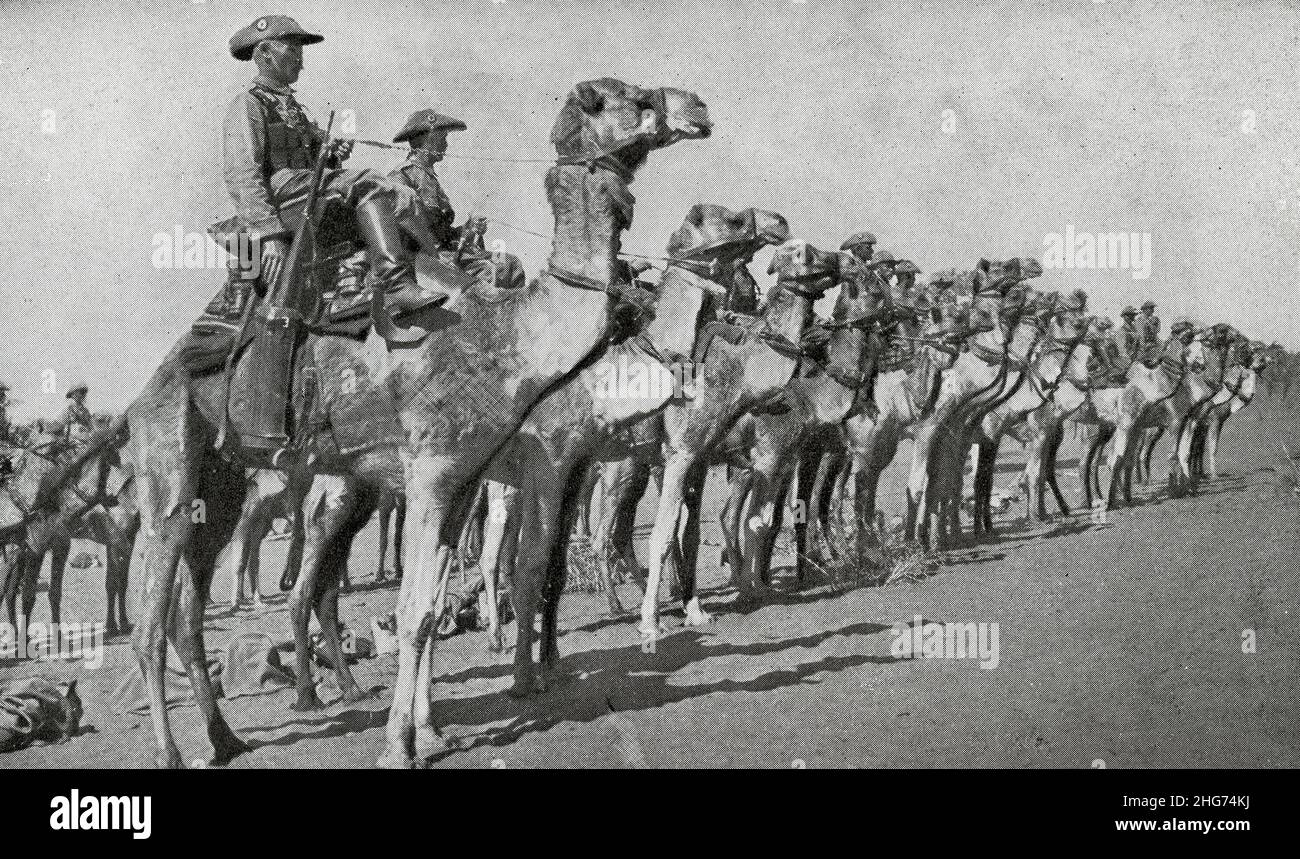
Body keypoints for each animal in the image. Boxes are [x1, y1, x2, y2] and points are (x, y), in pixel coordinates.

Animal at [110, 76, 712, 769]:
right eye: (625, 96)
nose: (697, 106)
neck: (504, 336)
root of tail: (143, 393)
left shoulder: (462, 481)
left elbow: (431, 604)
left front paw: (428, 733)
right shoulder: (432, 471)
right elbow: (415, 610)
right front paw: (400, 745)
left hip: (225, 479)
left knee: (189, 608)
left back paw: (225, 738)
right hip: (168, 462)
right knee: (151, 617)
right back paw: (173, 750)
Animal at [473, 201, 785, 691]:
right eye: (733, 221)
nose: (778, 222)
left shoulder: (687, 457)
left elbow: (684, 532)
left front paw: (693, 609)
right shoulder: (677, 455)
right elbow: (663, 534)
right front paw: (652, 623)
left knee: (498, 553)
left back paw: (504, 637)